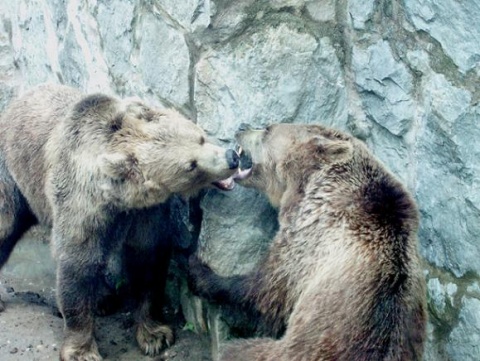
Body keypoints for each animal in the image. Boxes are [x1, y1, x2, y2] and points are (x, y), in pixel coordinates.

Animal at [0, 83, 240, 360]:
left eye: (199, 138)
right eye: (190, 166)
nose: (231, 157)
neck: (119, 199)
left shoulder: (146, 214)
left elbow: (147, 260)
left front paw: (154, 335)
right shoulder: (81, 206)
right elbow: (77, 266)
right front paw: (82, 350)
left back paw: (104, 299)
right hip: (12, 178)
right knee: (5, 226)